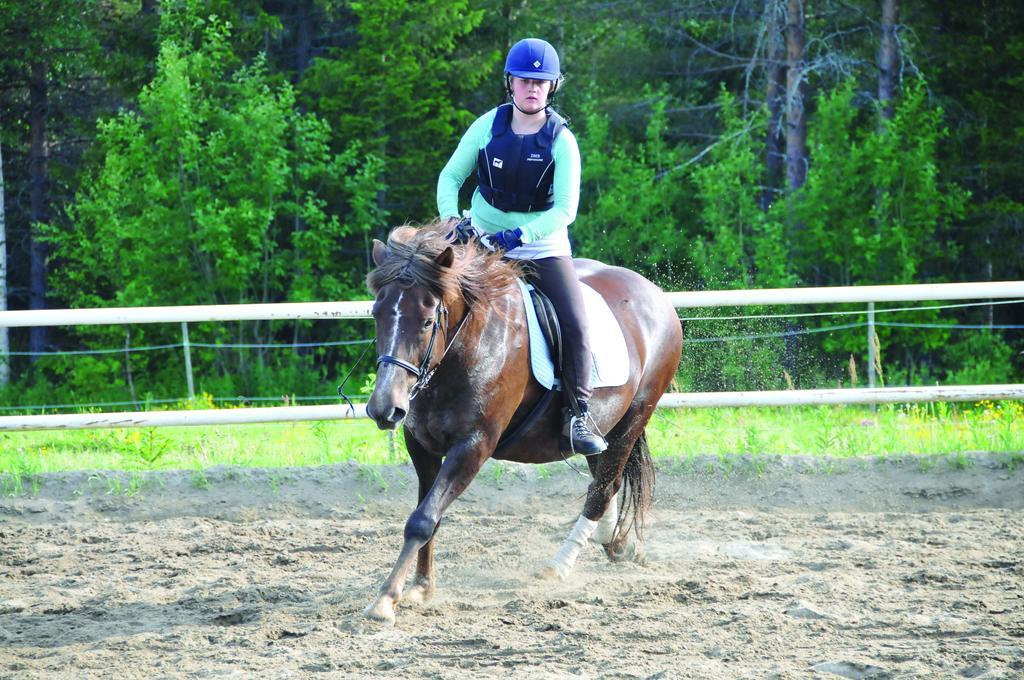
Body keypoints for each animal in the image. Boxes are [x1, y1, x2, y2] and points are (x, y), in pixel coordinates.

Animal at [360, 220, 679, 622]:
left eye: (428, 321)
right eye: (377, 314)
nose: (384, 408)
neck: (464, 351)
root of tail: (655, 295)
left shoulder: (473, 446)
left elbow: (422, 520)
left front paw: (386, 598)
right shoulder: (422, 447)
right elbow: (426, 515)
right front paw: (420, 587)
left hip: (633, 419)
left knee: (601, 491)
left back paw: (558, 566)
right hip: (606, 428)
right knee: (607, 482)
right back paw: (616, 544)